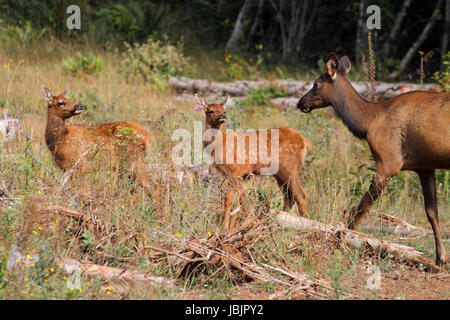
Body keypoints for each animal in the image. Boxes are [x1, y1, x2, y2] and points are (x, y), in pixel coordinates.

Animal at [195, 92, 312, 230]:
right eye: (211, 110)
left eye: (224, 110)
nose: (223, 116)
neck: (219, 146)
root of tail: (305, 141)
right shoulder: (243, 175)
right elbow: (244, 201)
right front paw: (249, 222)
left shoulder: (235, 171)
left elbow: (228, 198)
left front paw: (224, 228)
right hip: (279, 173)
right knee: (289, 198)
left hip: (289, 167)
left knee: (302, 196)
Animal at [298, 52, 448, 268]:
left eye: (316, 83)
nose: (300, 102)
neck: (368, 122)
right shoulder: (425, 167)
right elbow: (432, 212)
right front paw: (441, 257)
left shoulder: (388, 162)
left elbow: (363, 206)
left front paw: (345, 237)